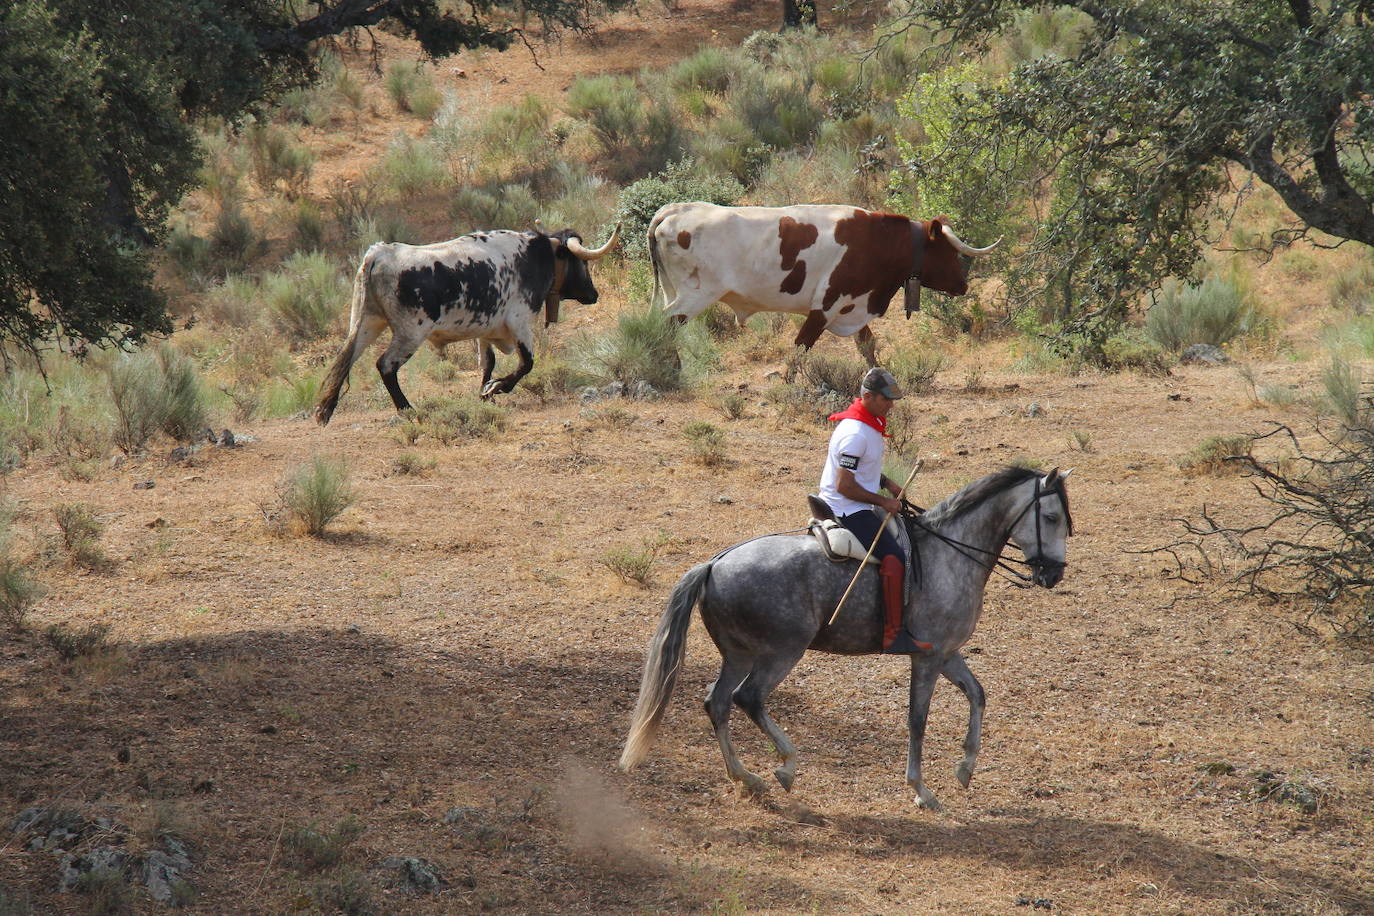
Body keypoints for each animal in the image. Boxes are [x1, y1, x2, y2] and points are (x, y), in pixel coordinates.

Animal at [311, 222, 618, 425]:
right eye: (582, 263)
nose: (593, 294)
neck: (532, 257)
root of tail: (380, 253)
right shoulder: (519, 323)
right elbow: (526, 364)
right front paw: (497, 388)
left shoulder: (487, 330)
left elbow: (487, 364)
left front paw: (485, 394)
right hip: (409, 333)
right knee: (385, 366)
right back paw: (408, 410)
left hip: (367, 323)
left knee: (345, 359)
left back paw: (325, 409)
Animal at [621, 469, 1071, 807]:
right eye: (1050, 517)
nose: (1053, 574)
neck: (950, 553)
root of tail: (714, 563)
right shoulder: (927, 658)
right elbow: (918, 719)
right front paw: (921, 789)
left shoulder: (947, 653)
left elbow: (978, 695)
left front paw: (966, 768)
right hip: (781, 652)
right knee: (747, 698)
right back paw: (785, 766)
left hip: (739, 655)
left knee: (716, 703)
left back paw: (747, 777)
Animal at [648, 201, 994, 362]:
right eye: (949, 252)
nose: (963, 285)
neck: (875, 240)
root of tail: (676, 210)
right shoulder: (825, 306)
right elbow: (801, 346)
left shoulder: (852, 305)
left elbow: (868, 346)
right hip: (694, 296)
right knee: (664, 325)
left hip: (670, 291)